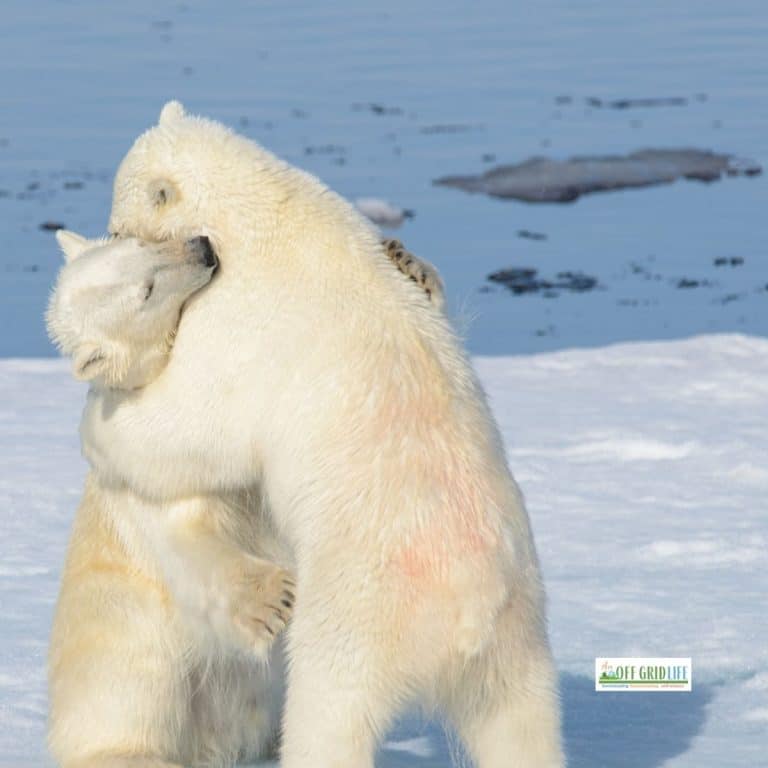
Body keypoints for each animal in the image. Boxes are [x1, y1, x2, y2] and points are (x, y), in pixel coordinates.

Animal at [47, 228, 444, 767]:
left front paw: (408, 266)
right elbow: (189, 542)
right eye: (147, 291)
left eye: (140, 243)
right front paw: (275, 600)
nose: (202, 247)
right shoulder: (152, 472)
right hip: (122, 662)